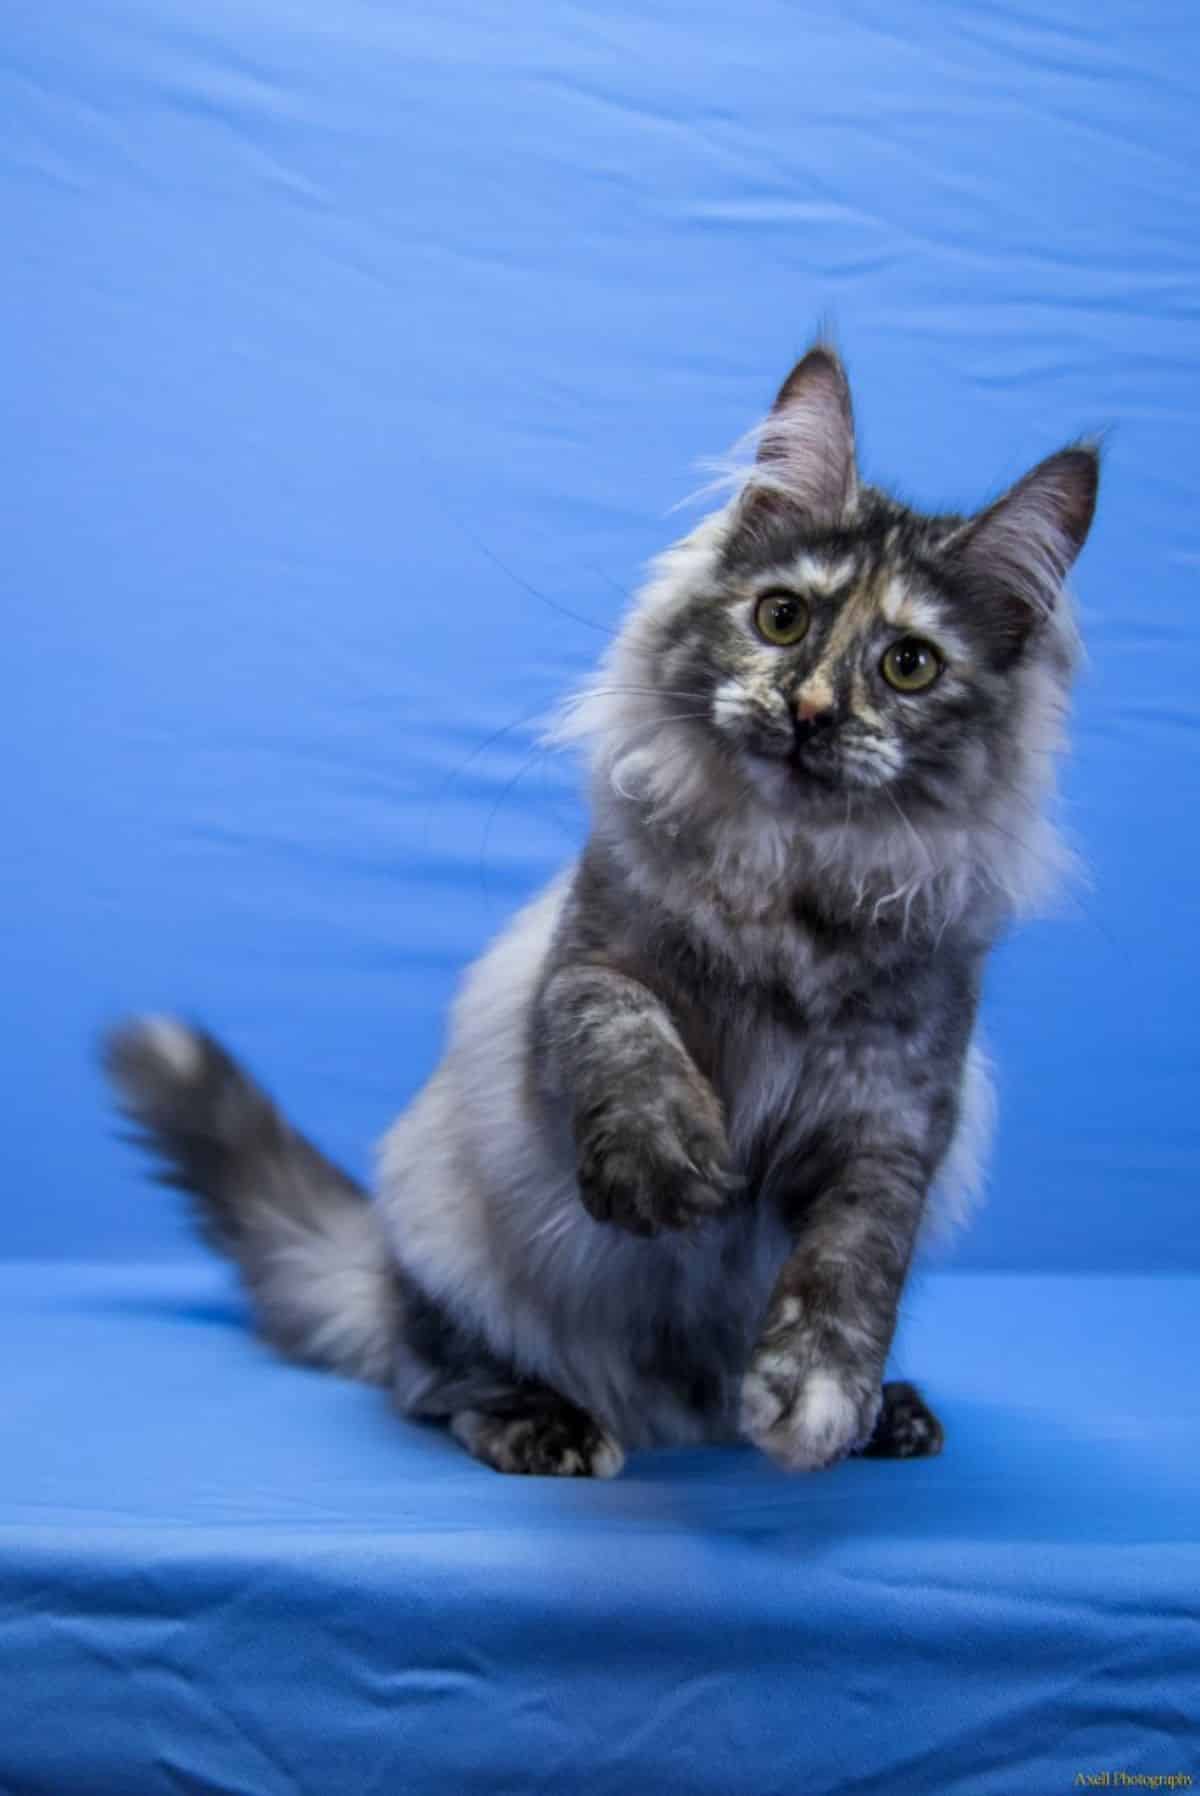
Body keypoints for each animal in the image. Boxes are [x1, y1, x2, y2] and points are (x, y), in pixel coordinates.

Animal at [103, 343, 1099, 1479]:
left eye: (909, 665)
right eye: (782, 618)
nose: (808, 712)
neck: (794, 882)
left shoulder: (895, 1119)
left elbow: (854, 1261)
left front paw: (821, 1395)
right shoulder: (581, 972)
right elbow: (627, 1038)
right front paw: (665, 1165)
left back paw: (886, 1416)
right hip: (444, 1228)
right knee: (429, 1380)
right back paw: (549, 1421)